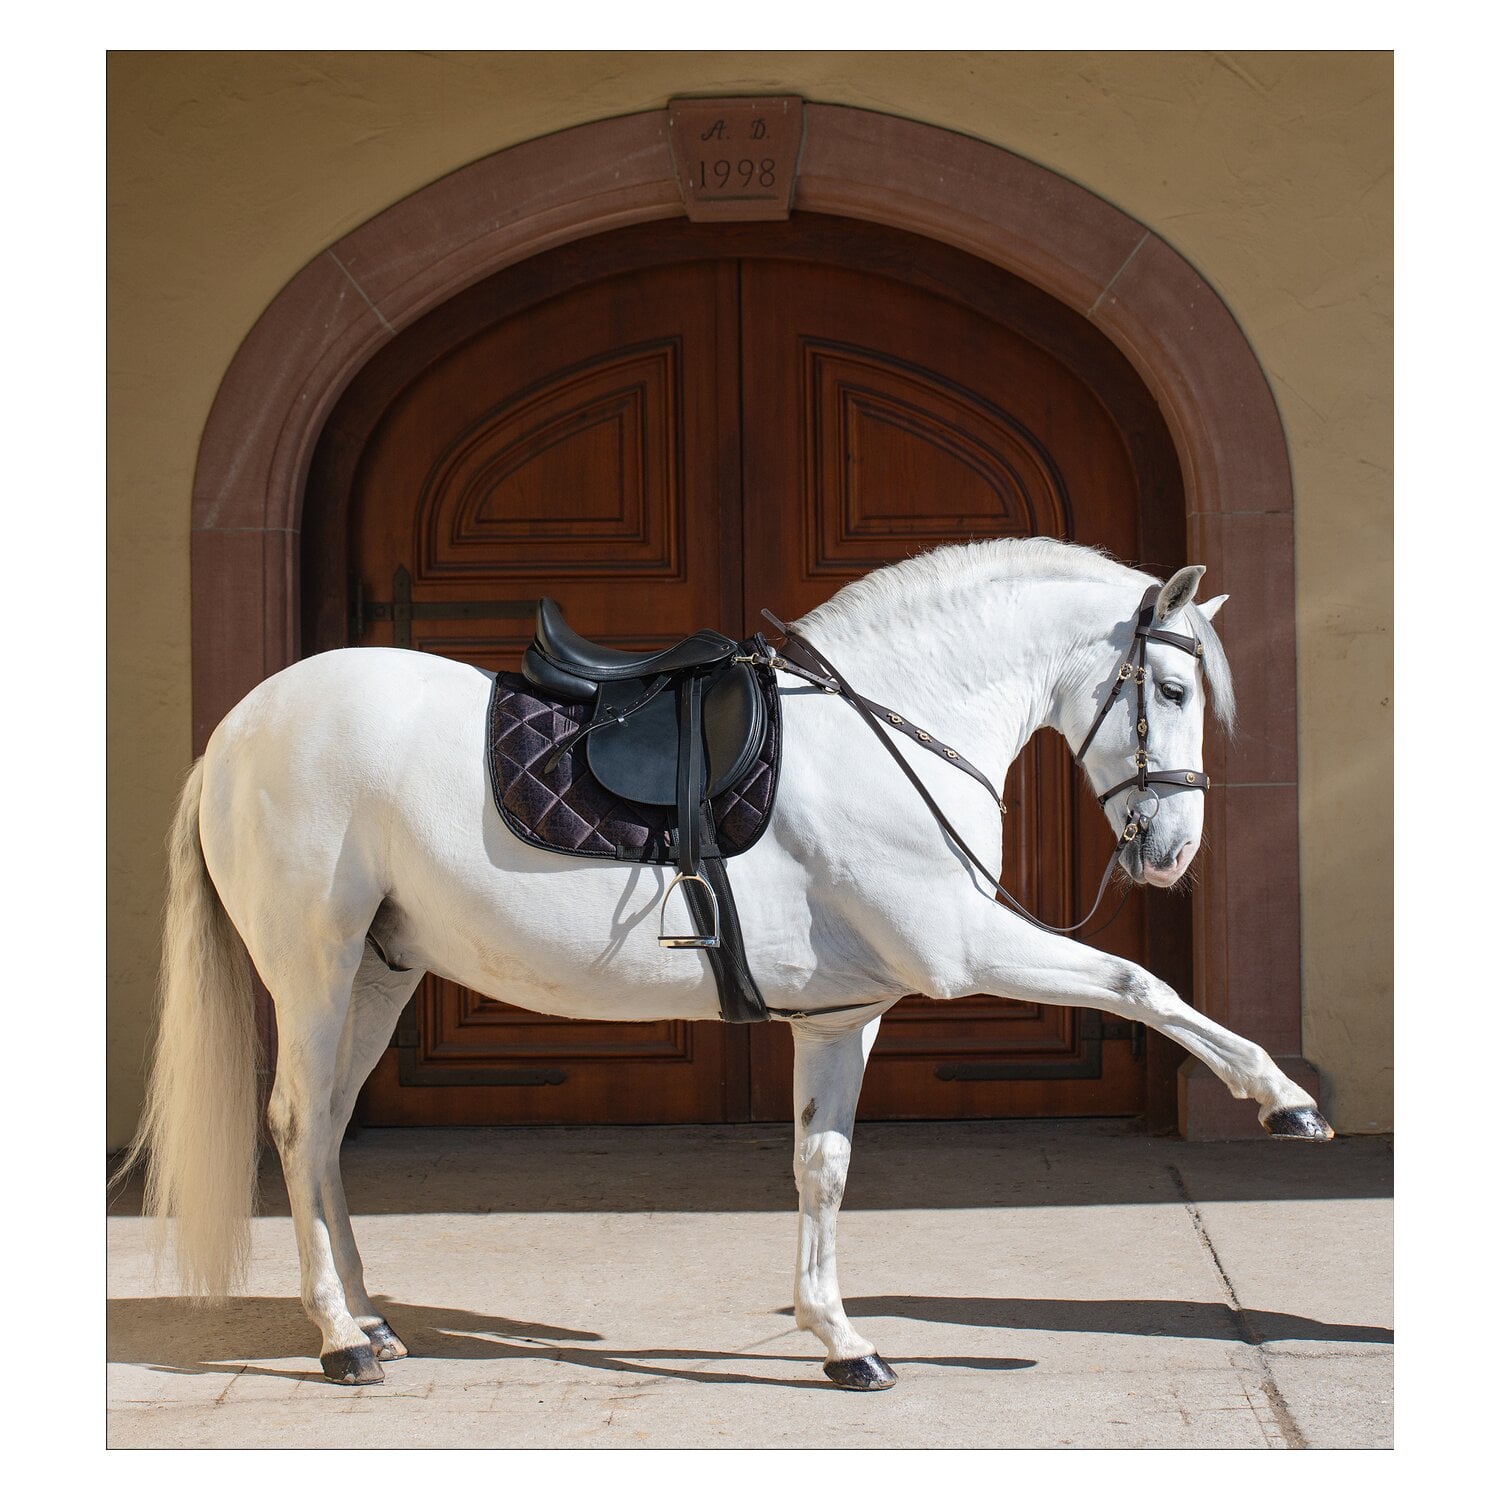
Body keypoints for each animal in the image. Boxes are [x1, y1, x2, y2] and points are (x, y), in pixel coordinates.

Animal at [116, 536, 1332, 1392]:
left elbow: (822, 1168)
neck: (884, 732)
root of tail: (235, 733)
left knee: (325, 1134)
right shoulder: (961, 946)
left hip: (379, 974)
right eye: (1170, 693)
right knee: (292, 1125)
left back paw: (369, 1318)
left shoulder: (844, 1016)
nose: (1170, 855)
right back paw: (338, 1339)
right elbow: (1142, 984)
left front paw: (841, 1341)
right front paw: (1283, 1100)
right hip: (313, 970)